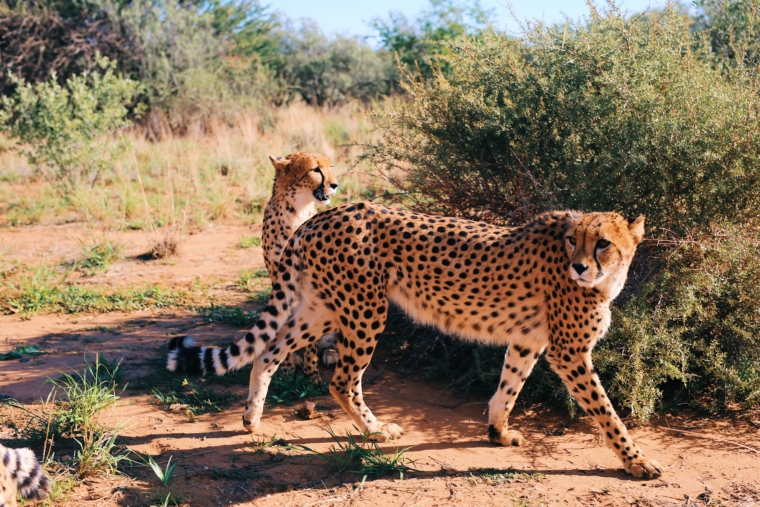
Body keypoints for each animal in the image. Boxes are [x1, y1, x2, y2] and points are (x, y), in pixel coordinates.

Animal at [168, 203, 664, 480]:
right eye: (572, 240)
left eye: (602, 243)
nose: (579, 266)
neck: (605, 279)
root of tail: (324, 215)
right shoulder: (570, 351)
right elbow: (607, 413)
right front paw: (637, 462)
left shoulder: (528, 339)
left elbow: (509, 387)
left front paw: (497, 431)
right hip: (366, 309)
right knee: (341, 379)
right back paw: (375, 430)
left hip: (320, 307)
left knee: (268, 352)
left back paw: (252, 419)